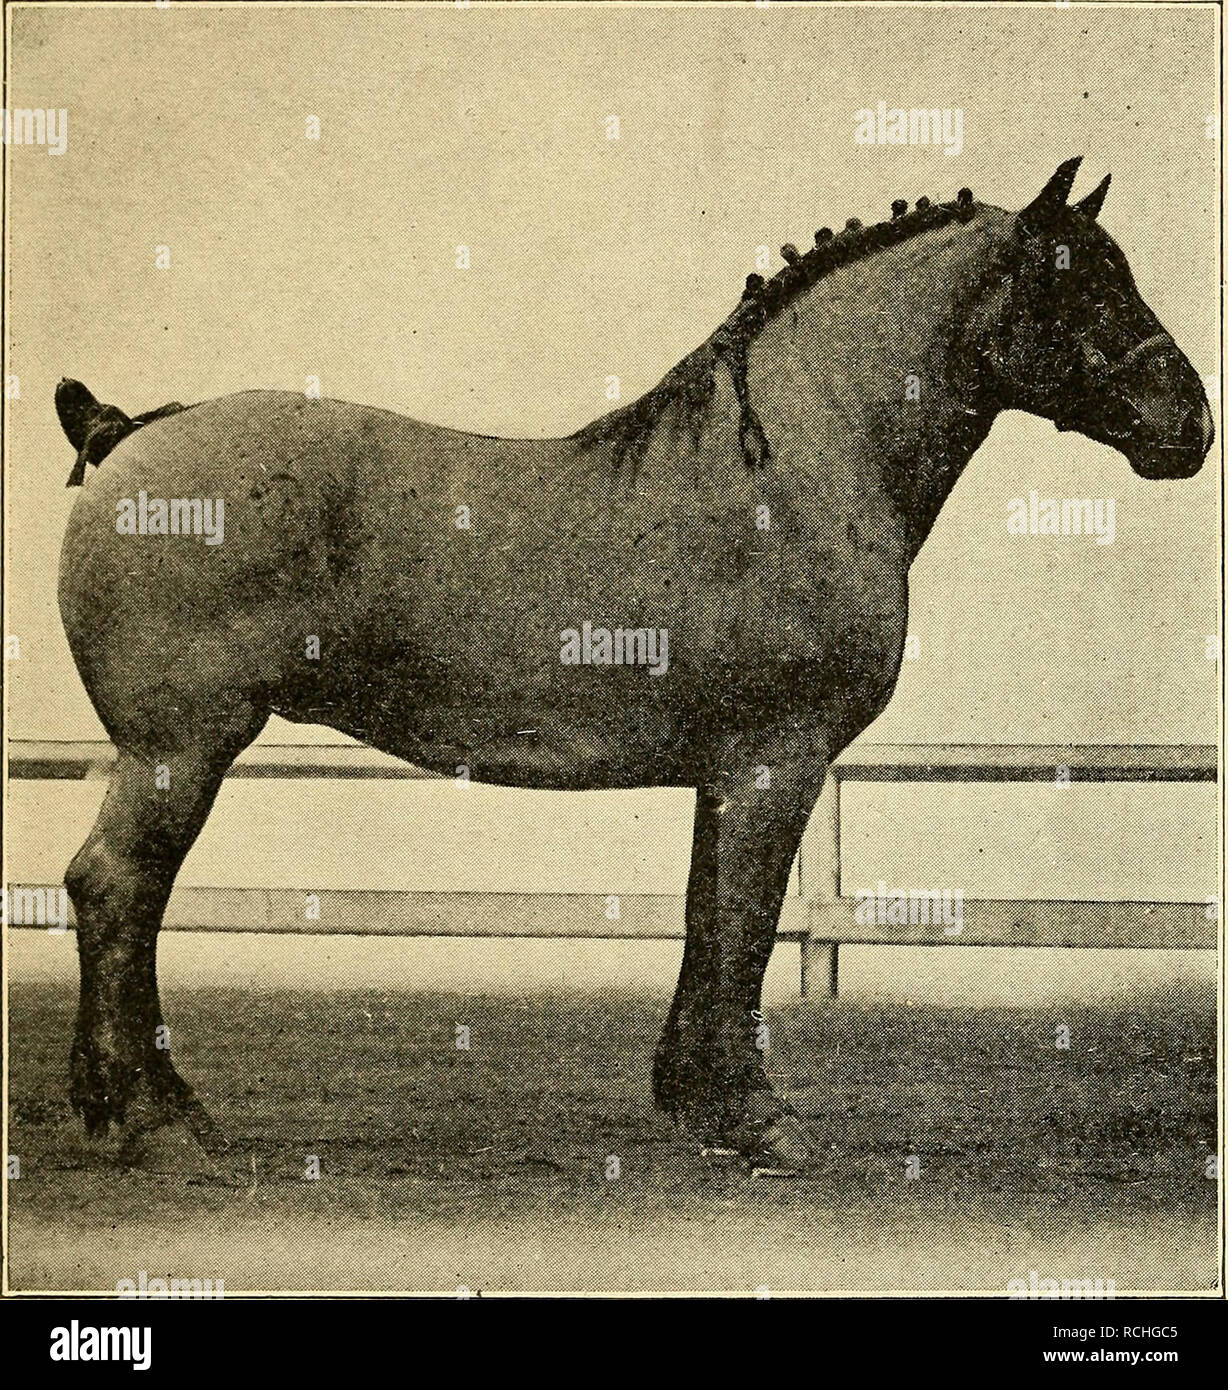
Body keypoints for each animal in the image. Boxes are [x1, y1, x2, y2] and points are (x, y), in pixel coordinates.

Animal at [54, 158, 1213, 1172]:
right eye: (1082, 280)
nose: (1190, 424)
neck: (790, 473)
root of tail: (125, 435)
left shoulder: (729, 770)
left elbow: (710, 916)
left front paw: (699, 1103)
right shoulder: (777, 760)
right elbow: (745, 925)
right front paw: (758, 1121)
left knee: (118, 895)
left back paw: (132, 1111)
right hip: (180, 746)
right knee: (116, 890)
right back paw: (158, 1125)